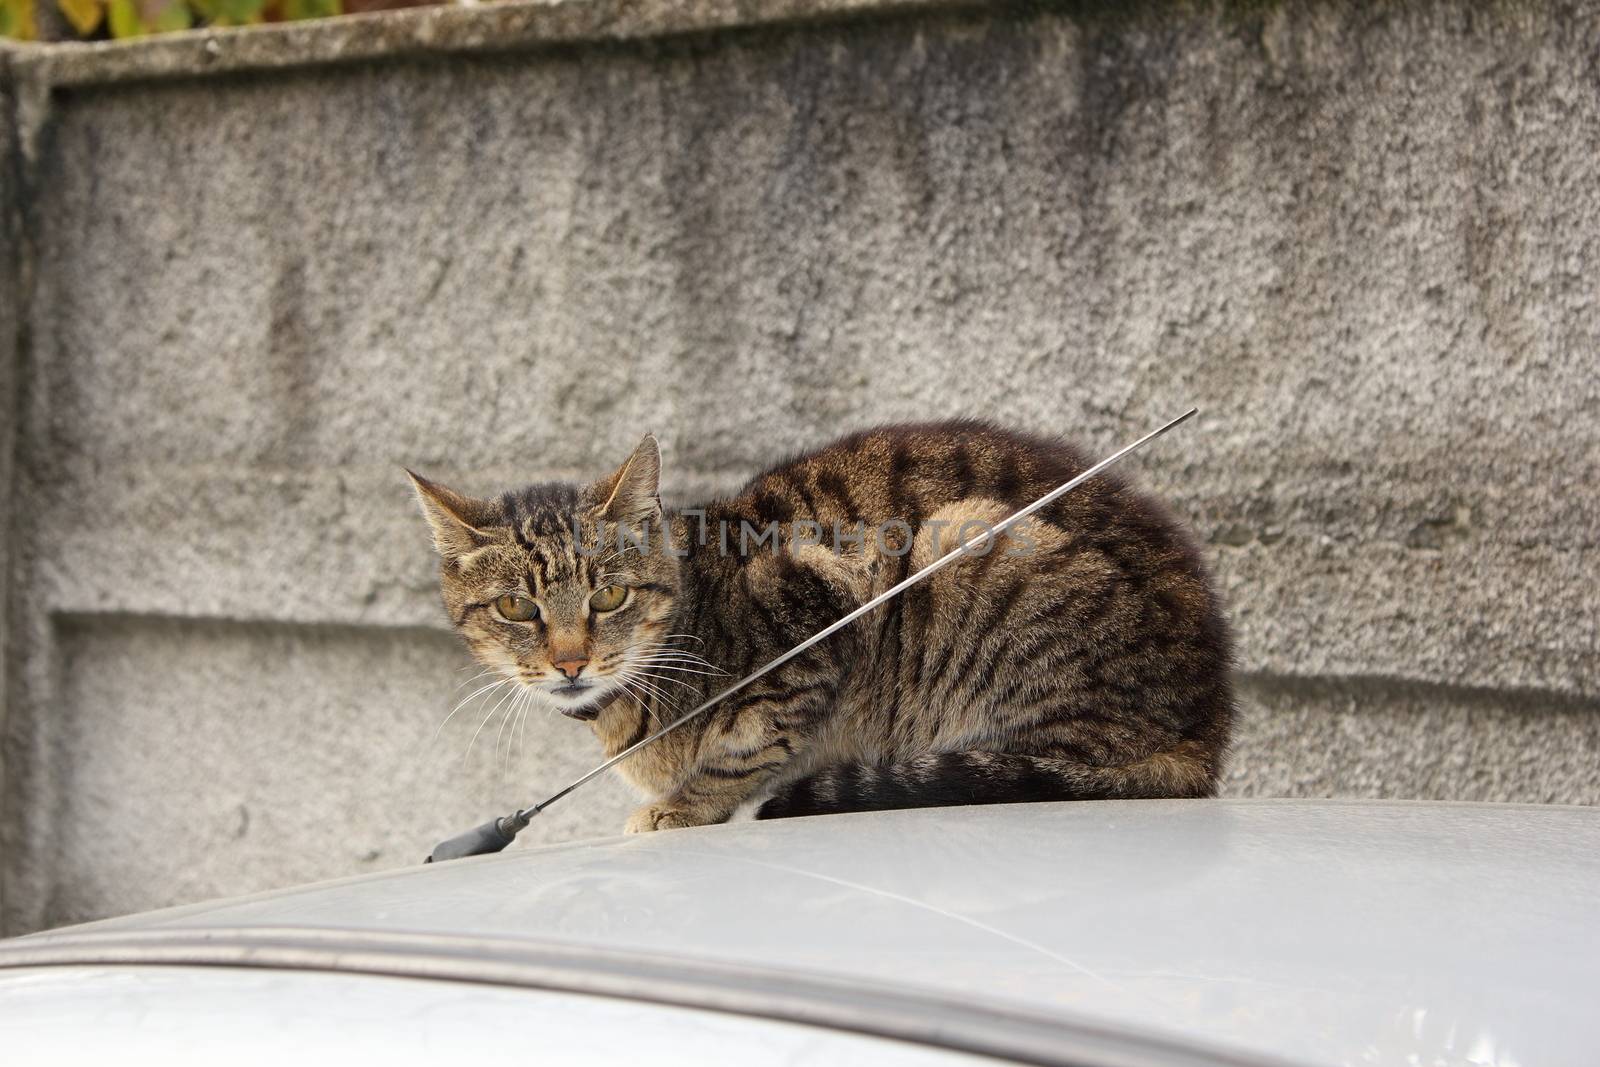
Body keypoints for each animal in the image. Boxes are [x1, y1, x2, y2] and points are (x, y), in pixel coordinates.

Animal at [412, 419, 1235, 831]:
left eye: (609, 597)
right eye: (517, 608)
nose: (570, 662)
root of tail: (1207, 731)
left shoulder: (818, 608)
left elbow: (749, 743)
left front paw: (684, 805)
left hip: (970, 548)